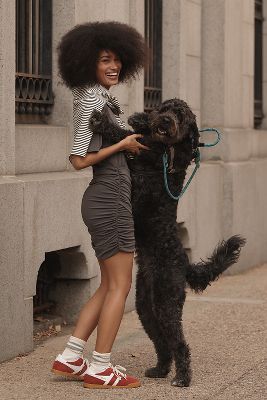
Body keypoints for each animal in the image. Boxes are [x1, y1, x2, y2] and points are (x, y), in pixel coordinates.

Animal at [90, 99, 247, 388]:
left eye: (181, 116)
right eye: (166, 108)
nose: (165, 121)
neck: (168, 149)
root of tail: (184, 263)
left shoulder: (140, 158)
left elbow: (123, 136)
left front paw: (104, 121)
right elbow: (134, 132)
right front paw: (139, 118)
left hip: (166, 300)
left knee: (180, 343)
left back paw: (182, 378)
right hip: (146, 306)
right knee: (162, 342)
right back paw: (161, 369)